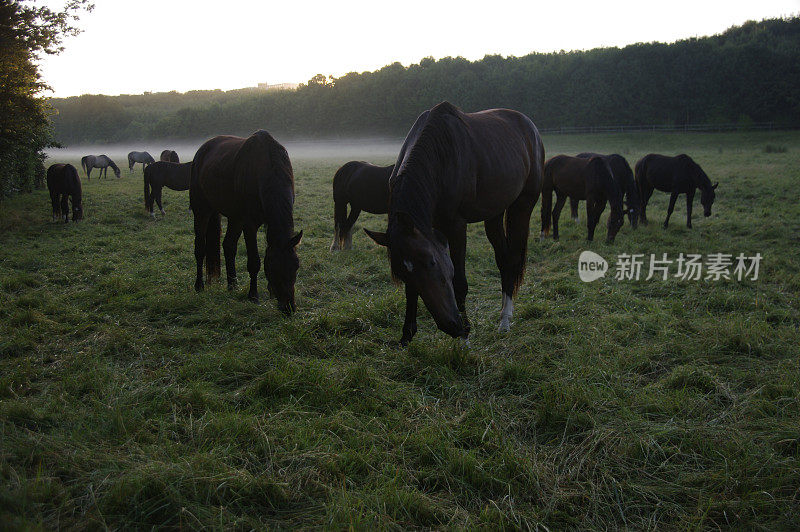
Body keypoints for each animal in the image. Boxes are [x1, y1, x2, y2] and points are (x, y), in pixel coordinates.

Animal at [191, 131, 304, 316]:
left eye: (296, 266)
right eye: (272, 267)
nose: (288, 308)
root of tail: (203, 149)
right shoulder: (249, 224)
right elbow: (254, 262)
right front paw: (253, 296)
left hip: (235, 217)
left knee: (228, 246)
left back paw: (232, 285)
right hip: (202, 210)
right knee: (200, 248)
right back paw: (199, 286)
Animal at [364, 102, 544, 348]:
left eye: (432, 263)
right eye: (401, 273)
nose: (451, 326)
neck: (440, 157)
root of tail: (529, 126)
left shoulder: (456, 226)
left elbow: (459, 281)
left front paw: (466, 338)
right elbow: (411, 290)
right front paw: (407, 335)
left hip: (523, 204)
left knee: (514, 258)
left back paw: (505, 320)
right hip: (494, 213)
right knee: (503, 259)